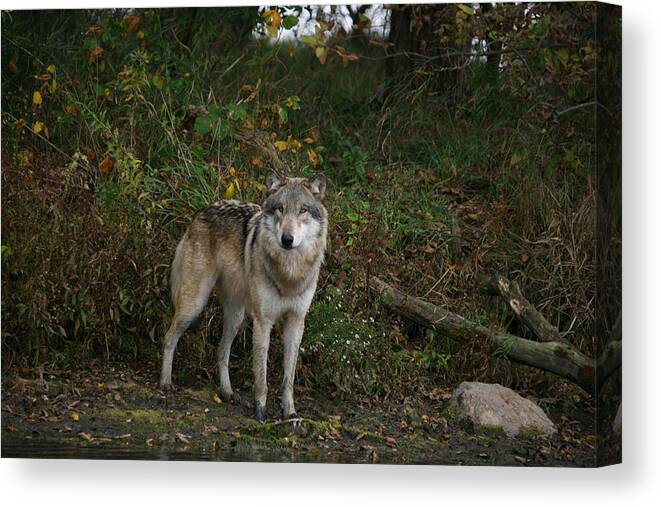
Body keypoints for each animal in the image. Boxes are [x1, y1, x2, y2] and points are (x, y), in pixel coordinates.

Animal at [158, 173, 328, 422]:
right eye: (280, 208)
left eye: (303, 210)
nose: (287, 239)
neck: (289, 273)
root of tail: (202, 211)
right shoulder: (263, 321)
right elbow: (261, 377)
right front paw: (260, 413)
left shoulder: (296, 322)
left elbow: (288, 378)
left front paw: (290, 413)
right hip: (194, 305)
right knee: (169, 337)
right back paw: (165, 382)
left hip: (236, 317)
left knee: (221, 350)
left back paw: (227, 392)